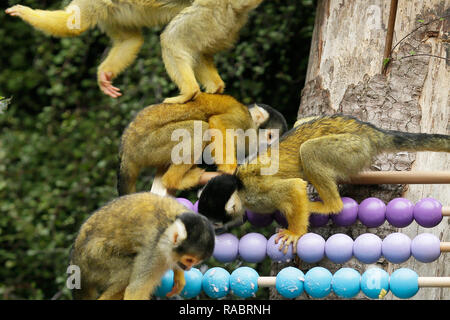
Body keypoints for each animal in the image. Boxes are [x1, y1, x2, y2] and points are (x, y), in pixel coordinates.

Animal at [4, 0, 260, 102]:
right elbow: (130, 40)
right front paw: (104, 76)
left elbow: (72, 25)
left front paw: (25, 12)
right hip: (223, 21)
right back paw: (214, 88)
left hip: (211, 11)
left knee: (172, 39)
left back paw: (189, 92)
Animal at [70, 192, 214, 300]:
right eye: (189, 260)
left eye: (195, 262)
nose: (188, 268)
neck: (169, 226)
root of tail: (75, 259)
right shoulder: (156, 250)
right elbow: (136, 290)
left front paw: (179, 276)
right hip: (93, 259)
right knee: (126, 271)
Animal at [118, 92, 286, 195]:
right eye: (270, 136)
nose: (270, 148)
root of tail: (127, 147)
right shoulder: (242, 120)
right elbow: (217, 123)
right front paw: (230, 168)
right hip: (148, 145)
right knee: (200, 129)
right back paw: (174, 181)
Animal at [199, 115, 450, 252]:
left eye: (217, 223)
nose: (216, 231)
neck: (239, 185)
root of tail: (369, 131)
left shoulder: (256, 194)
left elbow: (293, 187)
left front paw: (295, 233)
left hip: (353, 147)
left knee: (309, 151)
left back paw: (330, 205)